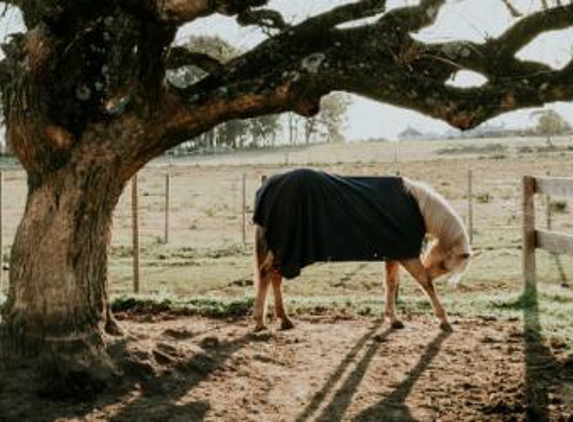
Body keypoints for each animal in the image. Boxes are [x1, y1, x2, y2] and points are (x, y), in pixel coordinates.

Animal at [252, 169, 472, 332]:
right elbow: (426, 284)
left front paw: (393, 318)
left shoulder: (393, 253)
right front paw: (444, 320)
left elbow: (391, 283)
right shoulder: (407, 255)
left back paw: (283, 319)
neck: (416, 206)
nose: (434, 271)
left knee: (273, 276)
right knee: (267, 274)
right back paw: (262, 321)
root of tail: (268, 185)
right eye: (445, 265)